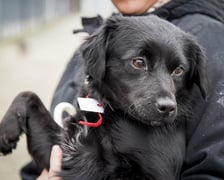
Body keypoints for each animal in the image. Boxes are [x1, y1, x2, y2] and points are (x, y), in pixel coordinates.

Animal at [0, 15, 208, 180]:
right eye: (138, 62)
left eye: (179, 70)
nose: (167, 108)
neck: (110, 114)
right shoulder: (58, 150)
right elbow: (28, 94)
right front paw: (6, 130)